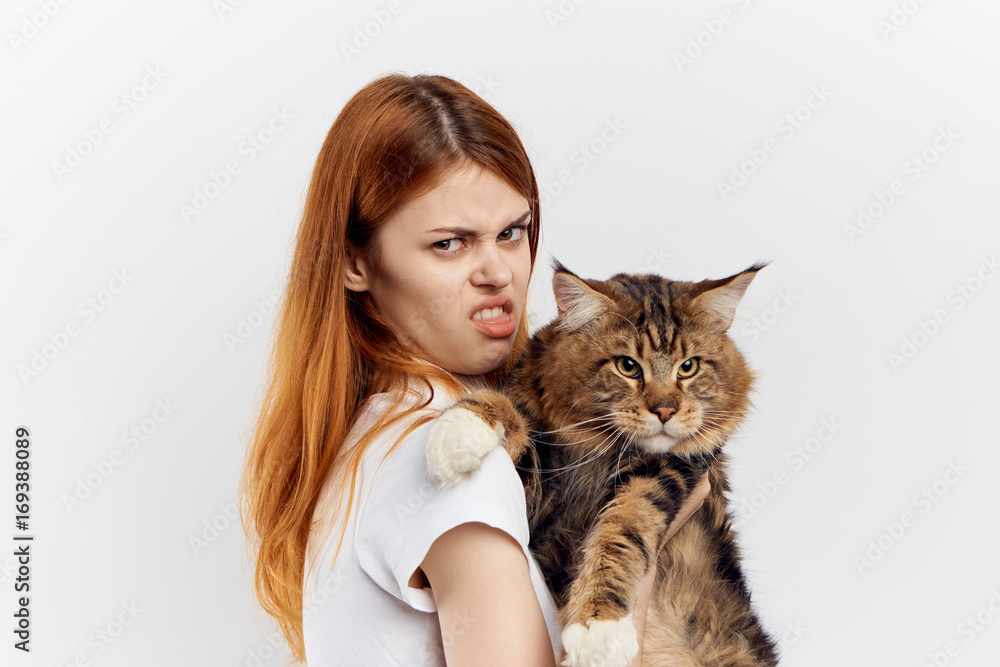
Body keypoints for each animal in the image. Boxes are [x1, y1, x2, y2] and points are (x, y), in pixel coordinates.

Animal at [426, 260, 776, 667]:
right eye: (628, 366)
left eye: (688, 367)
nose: (665, 411)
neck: (598, 450)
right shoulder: (539, 504)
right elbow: (511, 410)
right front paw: (460, 427)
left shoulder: (664, 473)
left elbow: (620, 534)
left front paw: (598, 629)